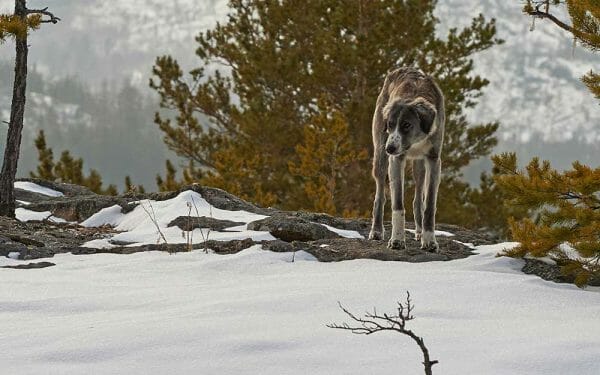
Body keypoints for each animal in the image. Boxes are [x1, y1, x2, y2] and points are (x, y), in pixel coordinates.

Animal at [368, 67, 442, 253]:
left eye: (407, 125)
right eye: (390, 124)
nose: (390, 149)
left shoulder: (433, 160)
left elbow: (429, 205)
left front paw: (429, 241)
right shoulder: (396, 160)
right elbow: (398, 204)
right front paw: (397, 240)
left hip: (419, 167)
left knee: (418, 200)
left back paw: (419, 231)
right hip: (380, 160)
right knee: (380, 196)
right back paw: (377, 230)